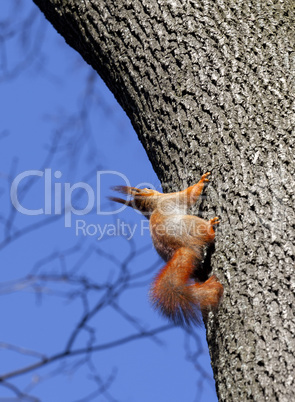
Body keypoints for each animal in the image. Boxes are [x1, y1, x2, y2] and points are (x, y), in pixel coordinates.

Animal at [111, 173, 224, 326]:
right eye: (146, 189)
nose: (148, 186)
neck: (154, 205)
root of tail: (184, 247)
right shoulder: (172, 198)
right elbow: (190, 194)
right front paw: (202, 180)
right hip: (192, 225)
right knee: (207, 233)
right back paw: (211, 225)